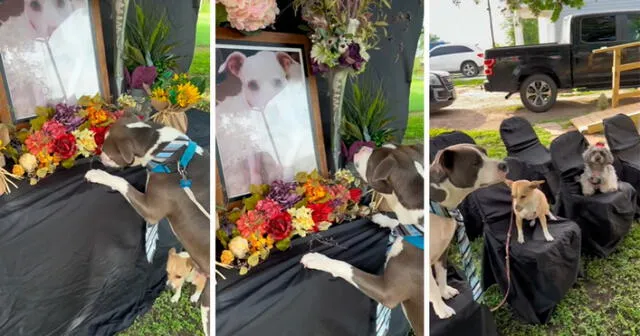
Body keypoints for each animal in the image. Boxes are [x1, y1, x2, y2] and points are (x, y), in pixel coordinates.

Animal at [83, 117, 210, 334]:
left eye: (107, 150)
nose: (99, 156)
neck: (165, 149)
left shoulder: (152, 210)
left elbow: (122, 182)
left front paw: (98, 175)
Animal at [300, 143, 424, 334]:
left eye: (373, 157)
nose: (364, 146)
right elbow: (394, 222)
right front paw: (381, 218)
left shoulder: (387, 292)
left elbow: (347, 268)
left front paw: (317, 259)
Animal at [432, 144, 508, 318]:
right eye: (475, 163)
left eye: (485, 153)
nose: (504, 164)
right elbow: (430, 286)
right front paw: (442, 309)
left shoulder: (443, 250)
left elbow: (442, 273)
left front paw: (444, 291)